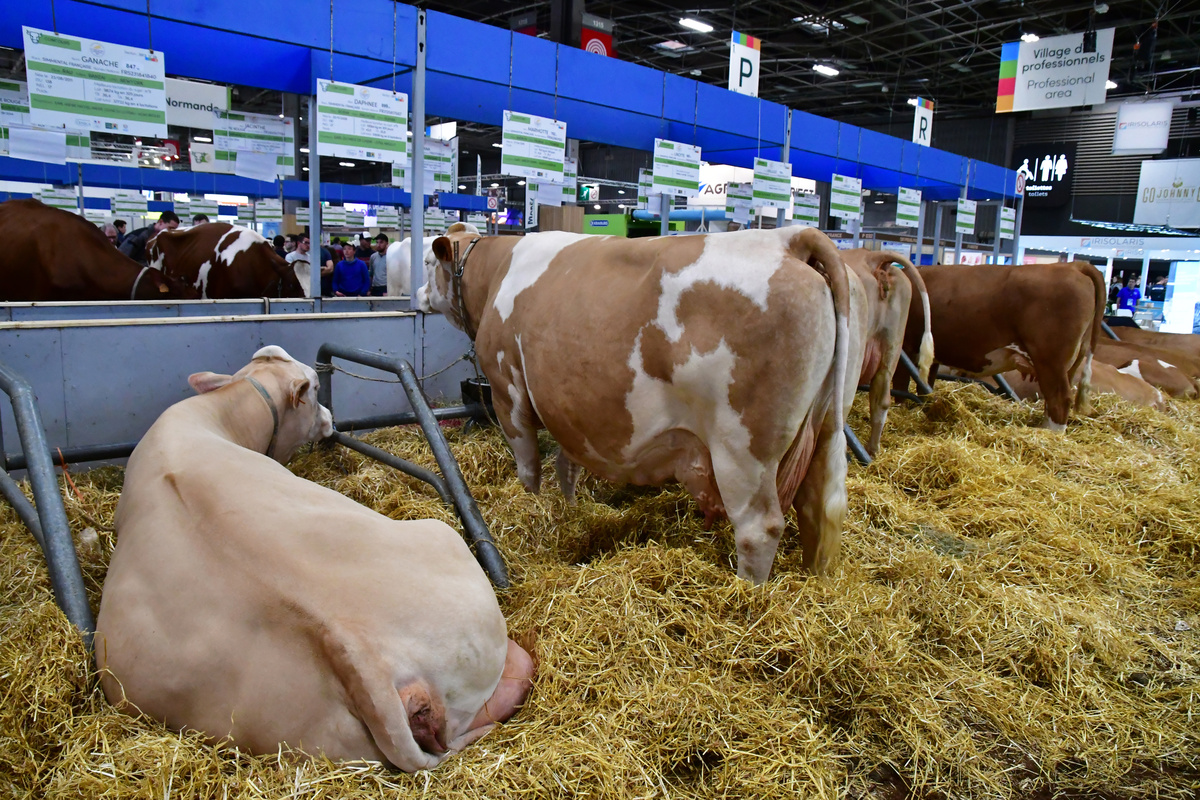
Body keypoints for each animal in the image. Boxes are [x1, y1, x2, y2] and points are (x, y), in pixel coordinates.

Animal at [417, 224, 859, 582]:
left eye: (426, 262)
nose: (418, 294)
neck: (496, 273)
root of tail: (789, 238)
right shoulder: (569, 406)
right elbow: (567, 464)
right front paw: (570, 508)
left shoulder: (507, 390)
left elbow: (528, 466)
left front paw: (533, 504)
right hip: (825, 426)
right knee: (818, 509)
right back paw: (816, 580)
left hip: (743, 447)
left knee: (759, 527)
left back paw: (747, 593)